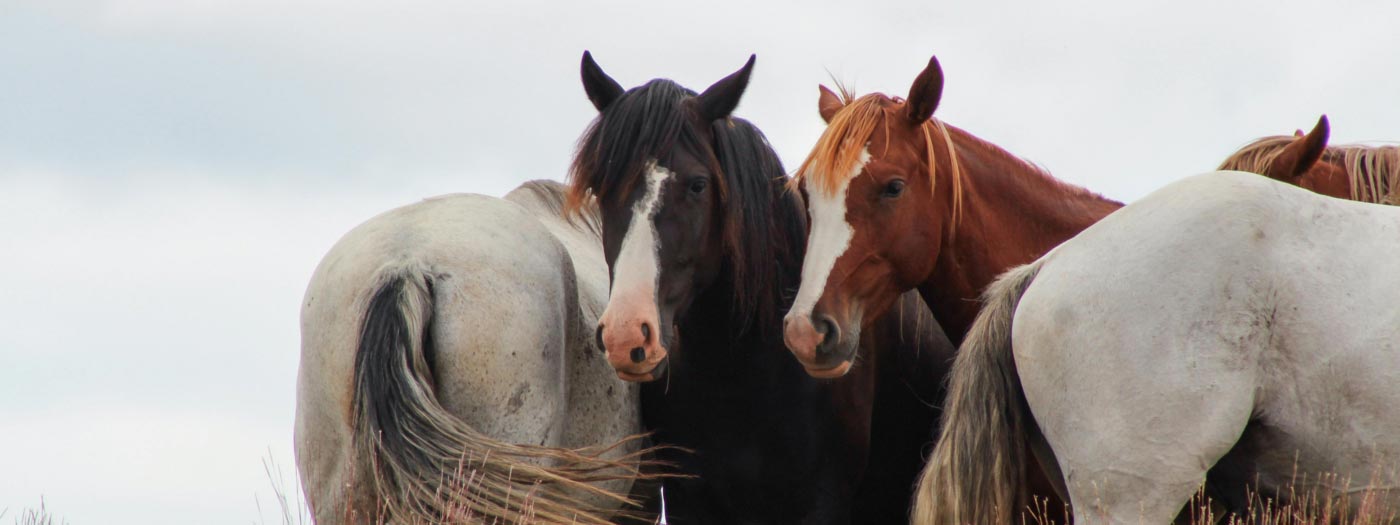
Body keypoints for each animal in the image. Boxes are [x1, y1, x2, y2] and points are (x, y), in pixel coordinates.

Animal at [567, 52, 954, 524]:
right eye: (598, 188)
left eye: (698, 184)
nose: (626, 336)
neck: (740, 372)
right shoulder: (688, 500)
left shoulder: (821, 501)